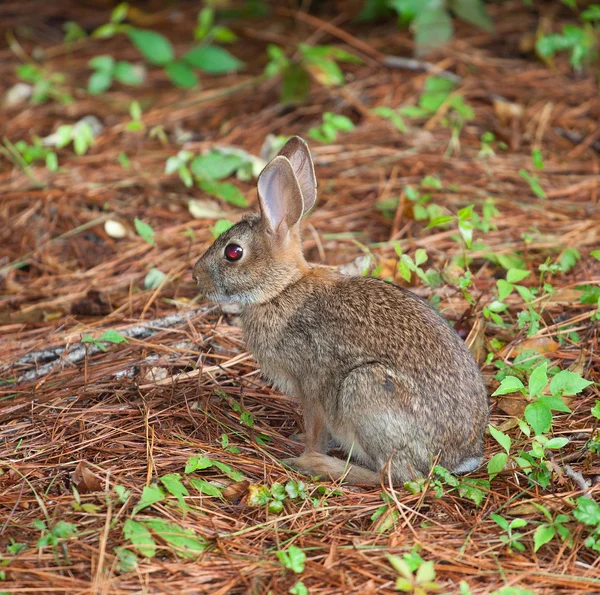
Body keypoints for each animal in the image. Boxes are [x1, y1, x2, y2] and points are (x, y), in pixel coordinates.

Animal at [192, 137, 488, 486]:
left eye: (233, 252)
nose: (195, 277)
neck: (282, 290)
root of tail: (461, 457)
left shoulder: (311, 385)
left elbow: (315, 429)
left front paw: (307, 451)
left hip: (365, 390)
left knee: (396, 476)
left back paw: (318, 465)